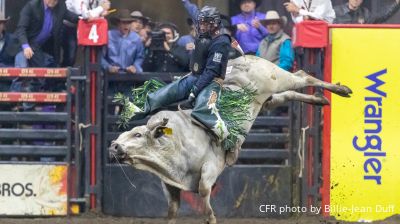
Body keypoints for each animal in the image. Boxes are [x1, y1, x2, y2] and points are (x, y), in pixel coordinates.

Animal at [108, 54, 350, 224]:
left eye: (137, 134)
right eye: (122, 135)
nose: (114, 146)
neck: (172, 146)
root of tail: (244, 58)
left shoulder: (210, 168)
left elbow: (205, 196)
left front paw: (211, 218)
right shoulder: (170, 185)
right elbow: (172, 211)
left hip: (277, 78)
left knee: (302, 75)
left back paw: (341, 89)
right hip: (269, 100)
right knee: (289, 93)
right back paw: (320, 100)